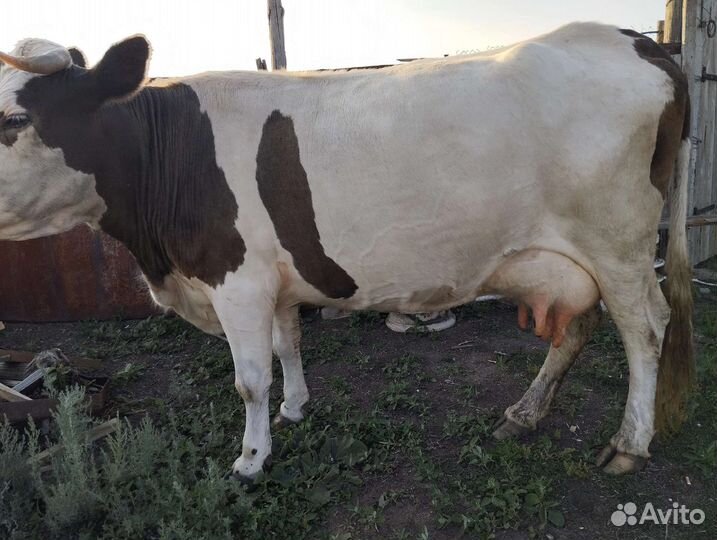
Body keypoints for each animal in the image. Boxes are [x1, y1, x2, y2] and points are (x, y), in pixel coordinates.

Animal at [0, 22, 693, 480]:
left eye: (13, 120)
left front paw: (250, 459)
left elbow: (249, 379)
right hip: (572, 258)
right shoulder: (274, 280)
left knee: (644, 329)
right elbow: (288, 347)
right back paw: (523, 414)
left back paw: (629, 444)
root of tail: (636, 39)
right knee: (577, 326)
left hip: (620, 244)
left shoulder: (237, 281)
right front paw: (294, 409)